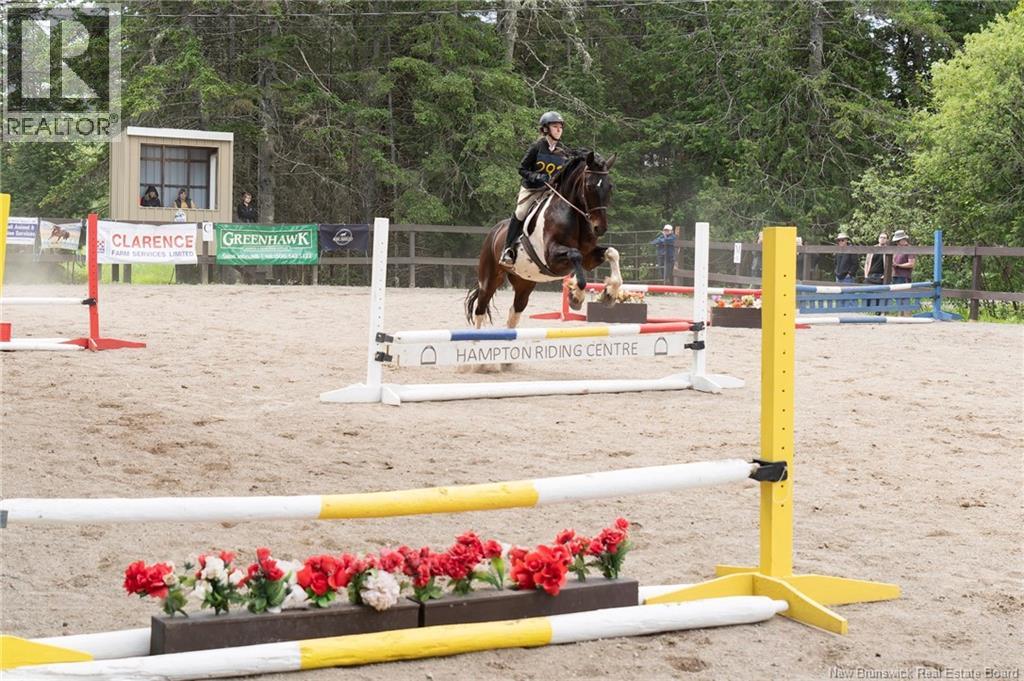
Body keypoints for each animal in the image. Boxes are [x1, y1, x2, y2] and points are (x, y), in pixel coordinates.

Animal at [465, 151, 623, 331]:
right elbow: (576, 255)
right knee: (480, 309)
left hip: (524, 283)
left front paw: (609, 294)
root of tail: (494, 231)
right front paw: (576, 297)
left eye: (609, 187)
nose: (600, 228)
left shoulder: (589, 257)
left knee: (514, 313)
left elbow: (612, 253)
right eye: (589, 186)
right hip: (489, 280)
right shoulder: (552, 258)